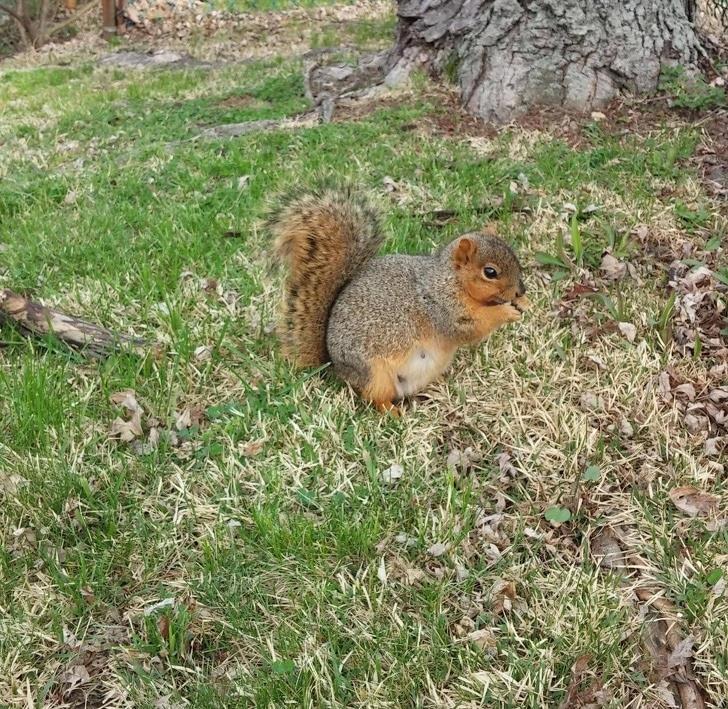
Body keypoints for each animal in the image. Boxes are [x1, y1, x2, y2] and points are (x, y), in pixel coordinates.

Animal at [268, 184, 528, 414]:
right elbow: (470, 328)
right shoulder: (441, 307)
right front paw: (505, 312)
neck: (450, 280)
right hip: (375, 374)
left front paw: (524, 303)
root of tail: (335, 367)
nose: (520, 290)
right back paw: (392, 413)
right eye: (490, 272)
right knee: (374, 397)